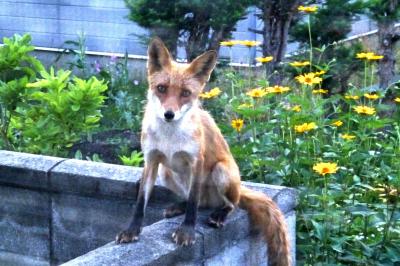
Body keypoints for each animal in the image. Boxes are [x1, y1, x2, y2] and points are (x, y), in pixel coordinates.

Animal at [115, 38, 290, 266]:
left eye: (185, 93)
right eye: (161, 88)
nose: (169, 114)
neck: (170, 139)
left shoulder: (196, 161)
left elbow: (193, 203)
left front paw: (187, 232)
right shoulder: (151, 161)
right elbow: (140, 202)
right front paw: (132, 230)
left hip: (221, 171)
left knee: (230, 204)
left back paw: (219, 215)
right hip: (166, 172)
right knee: (199, 201)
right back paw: (177, 207)